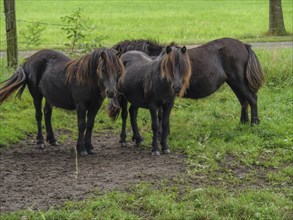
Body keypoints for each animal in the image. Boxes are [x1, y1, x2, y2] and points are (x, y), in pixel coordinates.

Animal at [111, 37, 262, 124]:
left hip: (239, 81)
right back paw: (243, 123)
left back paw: (254, 123)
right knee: (243, 101)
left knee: (252, 98)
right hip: (233, 83)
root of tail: (244, 45)